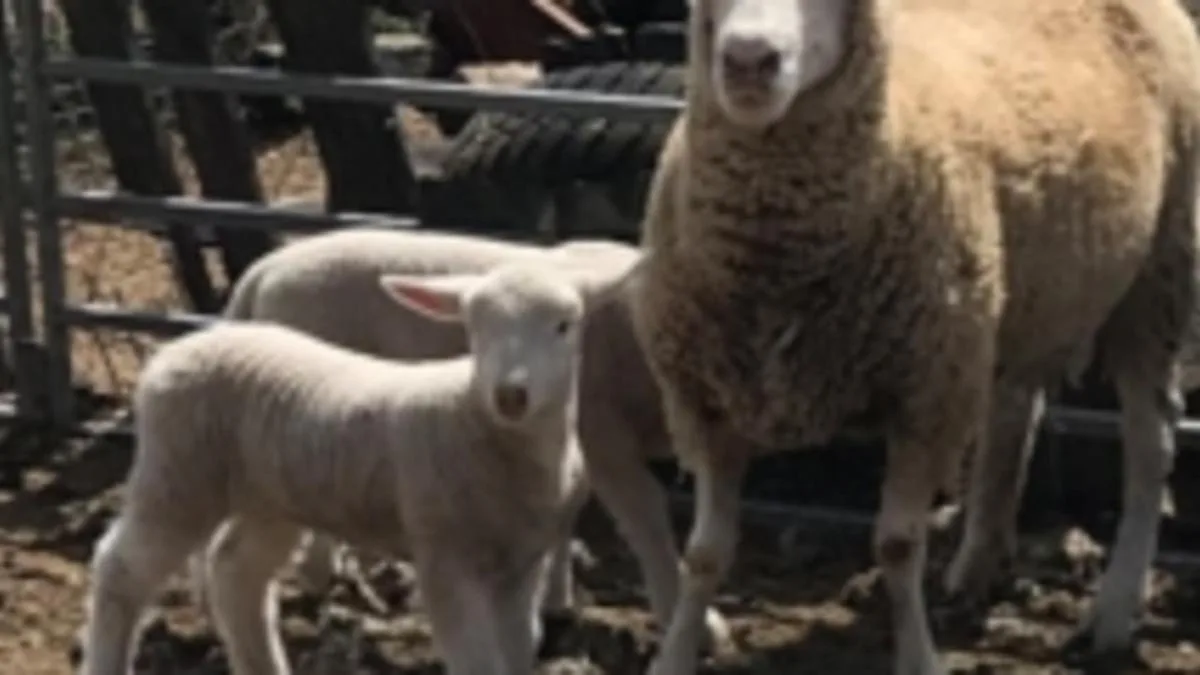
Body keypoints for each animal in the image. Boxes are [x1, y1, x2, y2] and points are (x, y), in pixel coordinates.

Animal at [77, 258, 639, 675]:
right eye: (474, 329)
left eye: (565, 326)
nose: (510, 395)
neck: (472, 420)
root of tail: (182, 346)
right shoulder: (444, 556)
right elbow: (476, 658)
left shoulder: (520, 562)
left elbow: (521, 647)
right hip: (178, 473)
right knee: (120, 569)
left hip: (271, 494)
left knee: (236, 572)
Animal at [629, 1, 1200, 674]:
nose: (747, 60)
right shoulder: (705, 394)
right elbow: (705, 553)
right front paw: (674, 655)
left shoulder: (924, 393)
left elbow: (898, 545)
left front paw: (919, 657)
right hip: (1018, 306)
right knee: (1014, 415)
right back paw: (978, 565)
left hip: (1160, 273)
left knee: (1151, 444)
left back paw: (1113, 610)